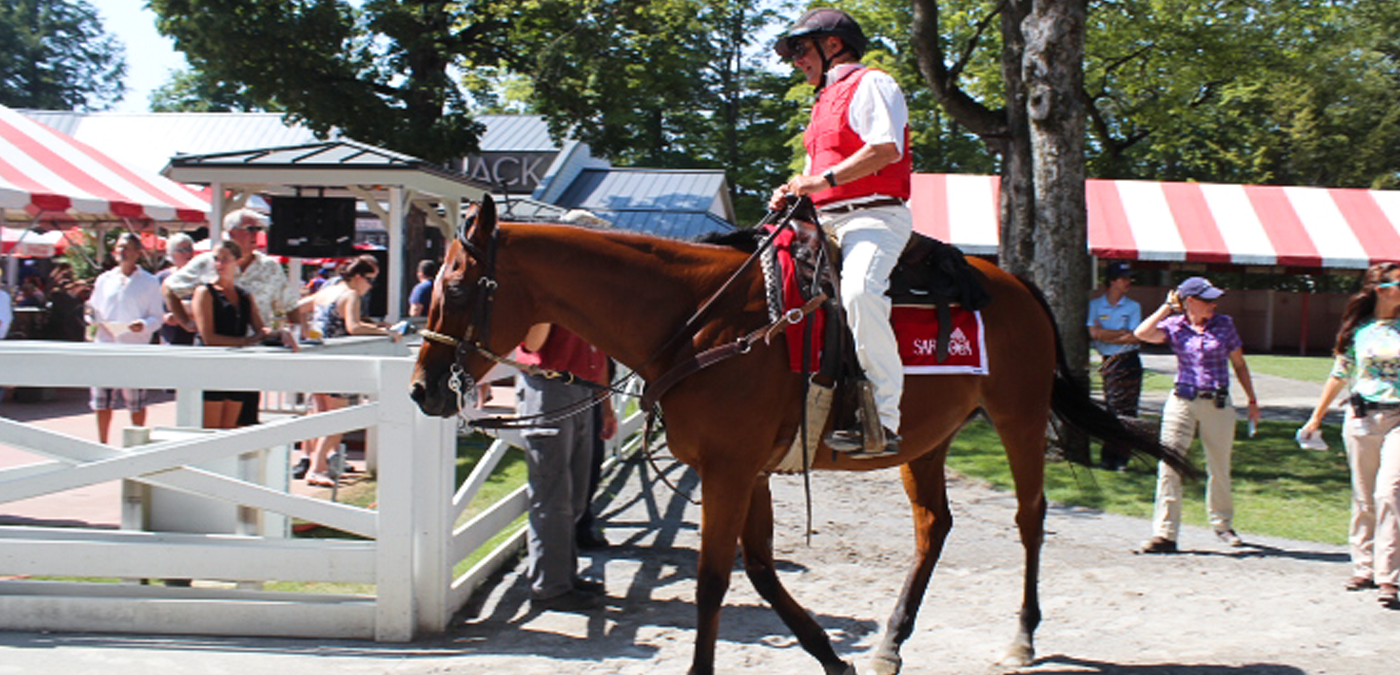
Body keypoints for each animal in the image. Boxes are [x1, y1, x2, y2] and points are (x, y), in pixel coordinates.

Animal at [408, 197, 1187, 675]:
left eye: (455, 285)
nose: (421, 387)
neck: (699, 319)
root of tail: (1019, 285)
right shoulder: (746, 470)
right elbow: (758, 569)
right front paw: (831, 654)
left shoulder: (728, 470)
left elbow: (714, 583)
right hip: (926, 440)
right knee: (934, 524)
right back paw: (891, 640)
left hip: (1019, 417)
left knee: (1030, 517)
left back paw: (1022, 634)